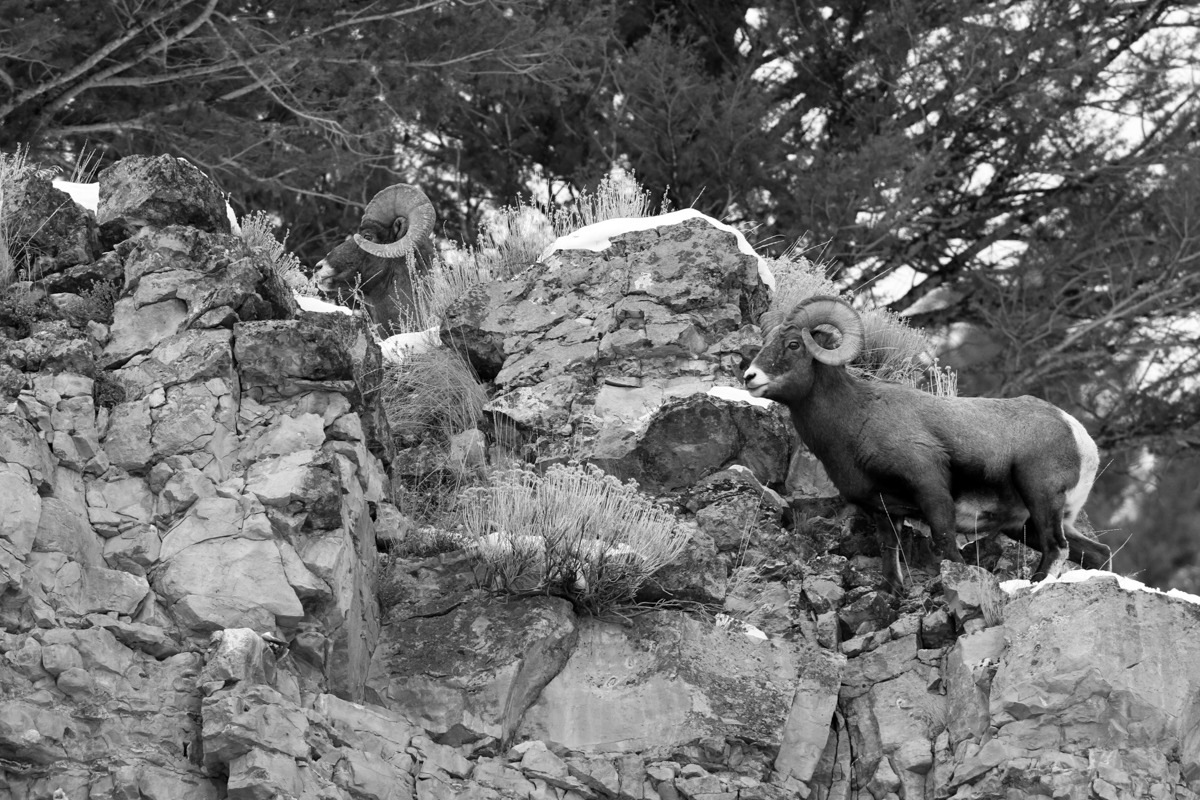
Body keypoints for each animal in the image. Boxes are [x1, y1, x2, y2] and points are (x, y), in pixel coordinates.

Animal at [743, 295, 1103, 593]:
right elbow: (890, 556)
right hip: (1029, 522)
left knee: (1057, 548)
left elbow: (947, 548)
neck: (857, 418)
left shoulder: (930, 490)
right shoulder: (884, 510)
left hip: (1041, 499)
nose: (749, 377)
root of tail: (1079, 436)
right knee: (1096, 554)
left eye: (793, 344)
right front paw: (894, 593)